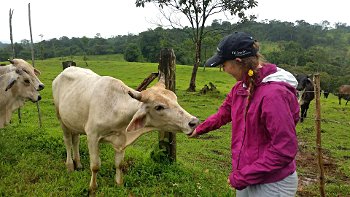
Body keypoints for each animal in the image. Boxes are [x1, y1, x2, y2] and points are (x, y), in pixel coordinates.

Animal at [52, 67, 200, 192]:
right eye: (159, 107)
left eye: (175, 99)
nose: (193, 122)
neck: (115, 108)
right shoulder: (92, 136)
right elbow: (95, 165)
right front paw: (93, 187)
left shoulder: (121, 141)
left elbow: (119, 164)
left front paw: (119, 183)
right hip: (62, 120)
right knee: (68, 142)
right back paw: (70, 165)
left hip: (74, 122)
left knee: (75, 140)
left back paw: (78, 163)